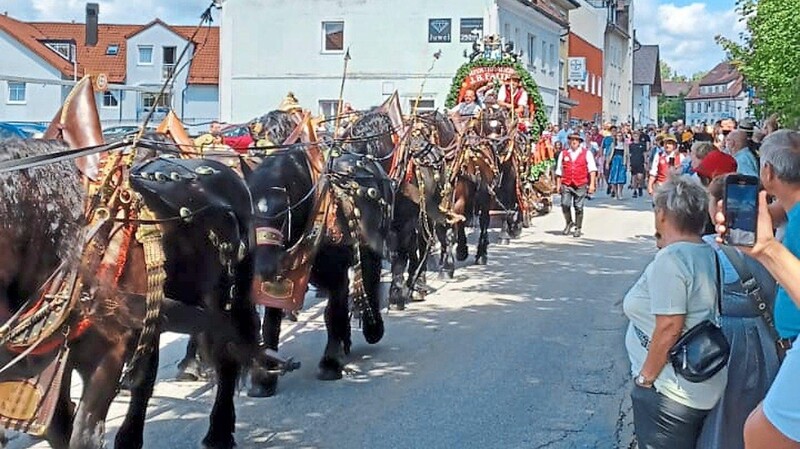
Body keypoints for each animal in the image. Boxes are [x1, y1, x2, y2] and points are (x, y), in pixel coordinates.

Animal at [245, 111, 392, 396]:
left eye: (283, 213)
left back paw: (372, 329)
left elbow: (333, 312)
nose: (262, 267)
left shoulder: (336, 273)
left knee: (369, 279)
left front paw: (330, 364)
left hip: (372, 246)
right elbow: (271, 324)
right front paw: (264, 378)